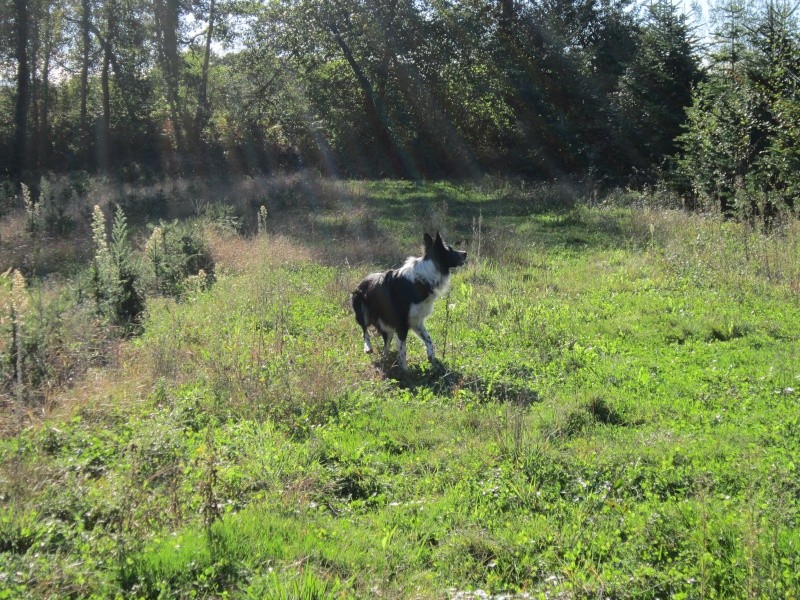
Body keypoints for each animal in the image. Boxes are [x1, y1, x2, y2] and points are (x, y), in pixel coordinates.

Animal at [352, 233, 468, 370]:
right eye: (450, 250)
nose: (465, 253)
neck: (423, 279)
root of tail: (363, 280)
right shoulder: (402, 323)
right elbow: (402, 348)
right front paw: (404, 370)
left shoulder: (416, 321)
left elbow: (428, 339)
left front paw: (432, 359)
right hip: (361, 310)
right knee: (365, 331)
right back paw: (368, 348)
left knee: (386, 341)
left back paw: (386, 358)